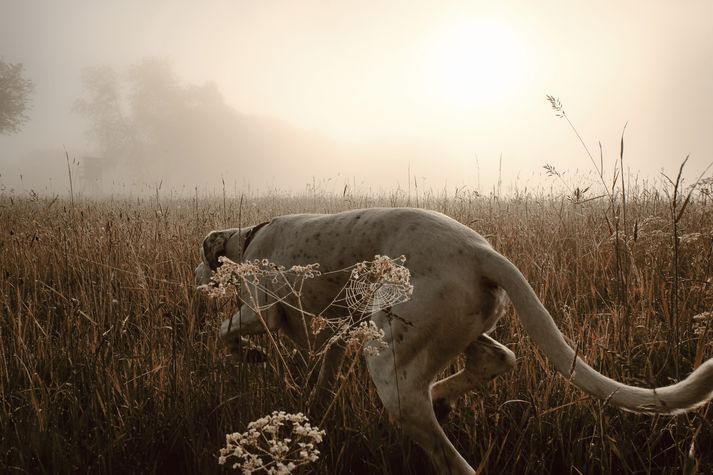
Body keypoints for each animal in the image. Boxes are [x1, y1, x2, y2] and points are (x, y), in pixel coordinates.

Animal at [195, 208, 712, 475]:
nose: (196, 274)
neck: (250, 238)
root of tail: (482, 252)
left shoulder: (260, 311)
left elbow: (227, 332)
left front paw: (249, 353)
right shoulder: (339, 333)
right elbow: (322, 381)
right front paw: (311, 413)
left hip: (392, 364)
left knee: (452, 457)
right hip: (453, 331)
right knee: (497, 358)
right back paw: (443, 397)